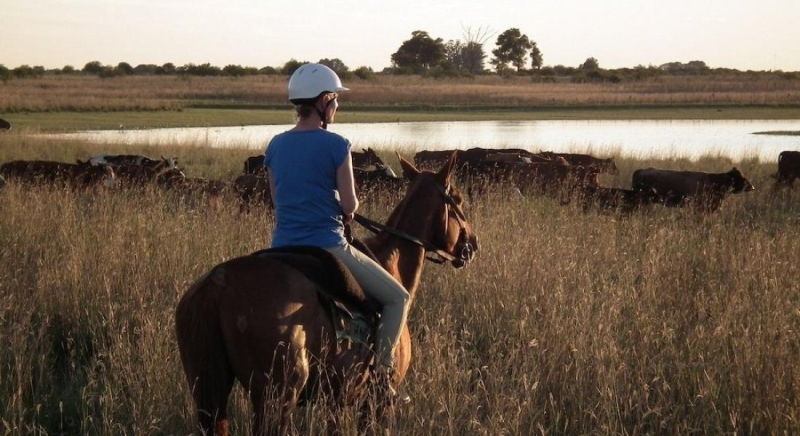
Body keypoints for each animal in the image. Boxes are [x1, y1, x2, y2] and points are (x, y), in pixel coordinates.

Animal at [175, 152, 478, 434]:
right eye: (458, 200)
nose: (473, 244)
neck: (391, 261)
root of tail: (218, 283)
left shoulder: (336, 400)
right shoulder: (374, 402)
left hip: (209, 392)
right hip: (277, 396)